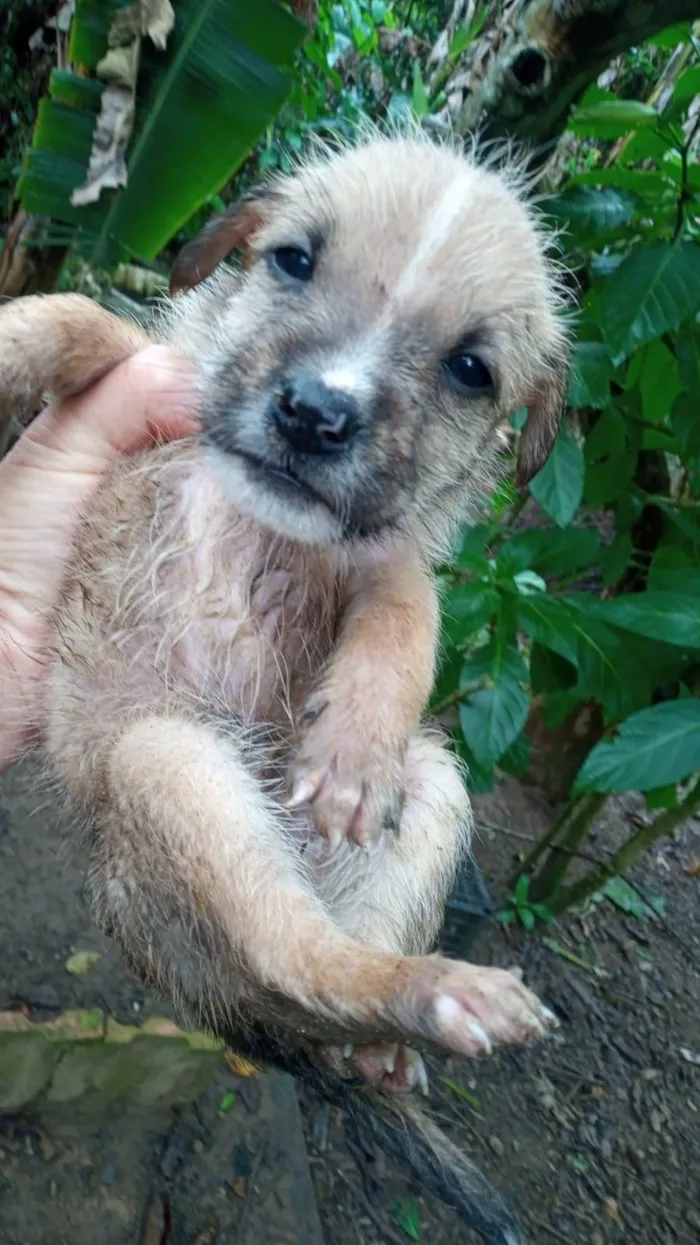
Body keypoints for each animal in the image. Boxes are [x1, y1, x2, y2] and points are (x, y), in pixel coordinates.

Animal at [0, 128, 567, 1245]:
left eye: (471, 369)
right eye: (294, 260)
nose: (315, 412)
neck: (264, 517)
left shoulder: (385, 562)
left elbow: (406, 628)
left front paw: (351, 752)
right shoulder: (152, 380)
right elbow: (86, 321)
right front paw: (10, 337)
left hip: (406, 790)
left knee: (319, 959)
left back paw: (418, 1008)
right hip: (171, 762)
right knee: (292, 963)